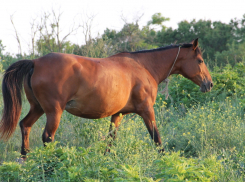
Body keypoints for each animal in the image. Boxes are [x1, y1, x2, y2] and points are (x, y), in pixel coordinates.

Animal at [0, 38, 212, 158]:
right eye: (200, 60)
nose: (209, 84)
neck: (144, 67)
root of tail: (35, 62)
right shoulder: (146, 111)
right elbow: (157, 138)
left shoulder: (118, 114)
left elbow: (111, 140)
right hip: (54, 112)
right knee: (47, 137)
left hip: (37, 108)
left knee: (25, 126)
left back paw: (26, 159)